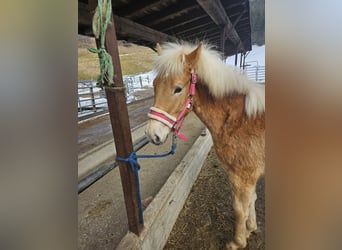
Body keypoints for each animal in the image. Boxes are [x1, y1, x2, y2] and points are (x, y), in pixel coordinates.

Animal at [144, 42, 264, 249]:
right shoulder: (249, 175)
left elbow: (240, 208)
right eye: (154, 85)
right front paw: (250, 229)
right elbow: (251, 201)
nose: (153, 134)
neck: (239, 119)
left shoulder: (243, 174)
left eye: (178, 89)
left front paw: (237, 242)